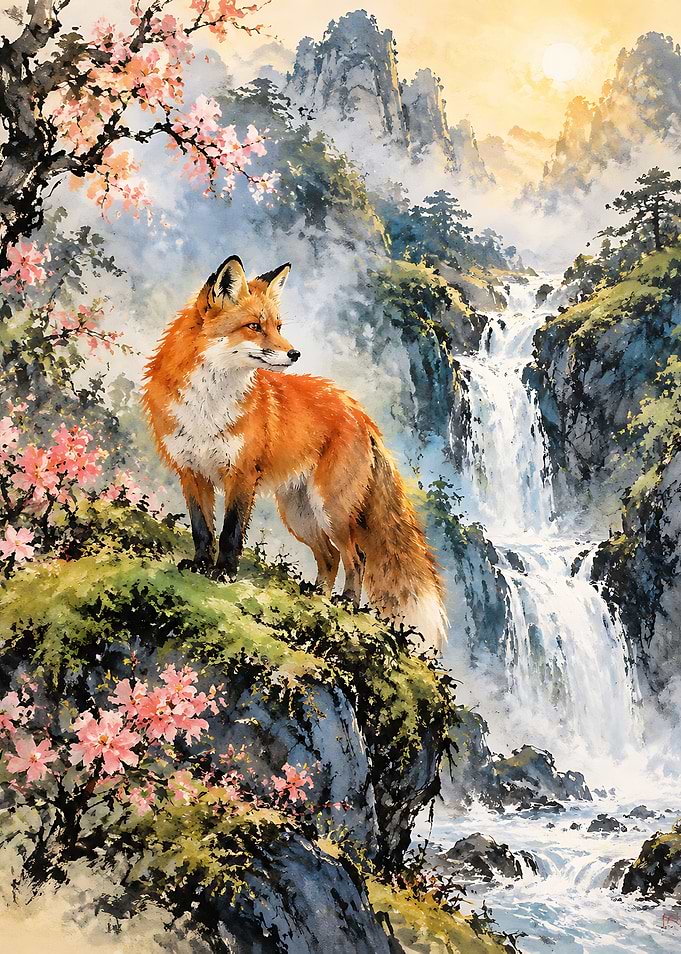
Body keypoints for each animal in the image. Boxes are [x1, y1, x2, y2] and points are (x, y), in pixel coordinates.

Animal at [142, 255, 447, 652]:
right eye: (254, 326)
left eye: (278, 326)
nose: (294, 353)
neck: (208, 407)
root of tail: (358, 410)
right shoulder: (190, 471)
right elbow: (202, 530)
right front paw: (199, 565)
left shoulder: (242, 474)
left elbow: (230, 533)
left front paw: (223, 573)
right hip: (299, 513)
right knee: (330, 557)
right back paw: (316, 597)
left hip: (331, 508)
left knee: (356, 556)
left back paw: (346, 604)